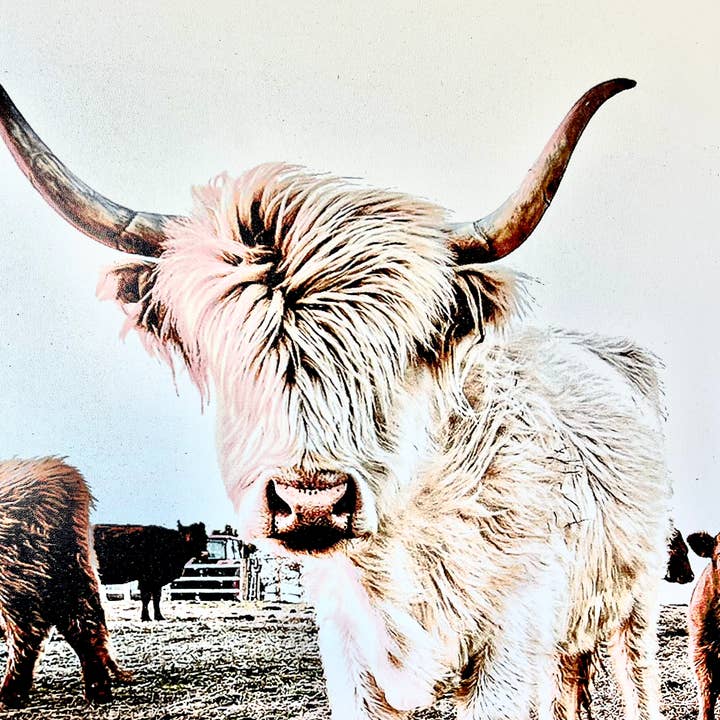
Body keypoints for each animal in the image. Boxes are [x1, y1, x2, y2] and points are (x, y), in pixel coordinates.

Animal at [0, 457, 132, 708]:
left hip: (17, 581)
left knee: (27, 633)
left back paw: (10, 695)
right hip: (70, 575)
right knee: (85, 624)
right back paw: (98, 692)